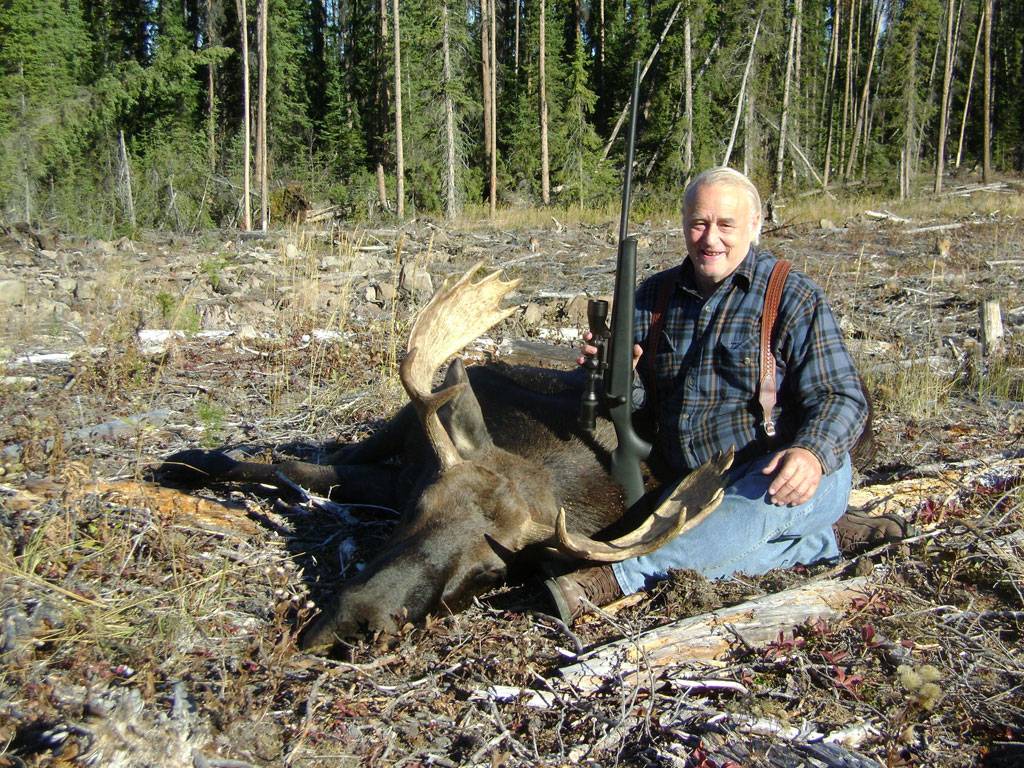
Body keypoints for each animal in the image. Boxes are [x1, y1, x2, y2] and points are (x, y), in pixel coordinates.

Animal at [157, 266, 729, 655]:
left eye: (494, 571)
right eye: (420, 508)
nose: (357, 623)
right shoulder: (400, 476)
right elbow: (295, 468)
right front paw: (186, 462)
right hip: (401, 419)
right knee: (342, 448)